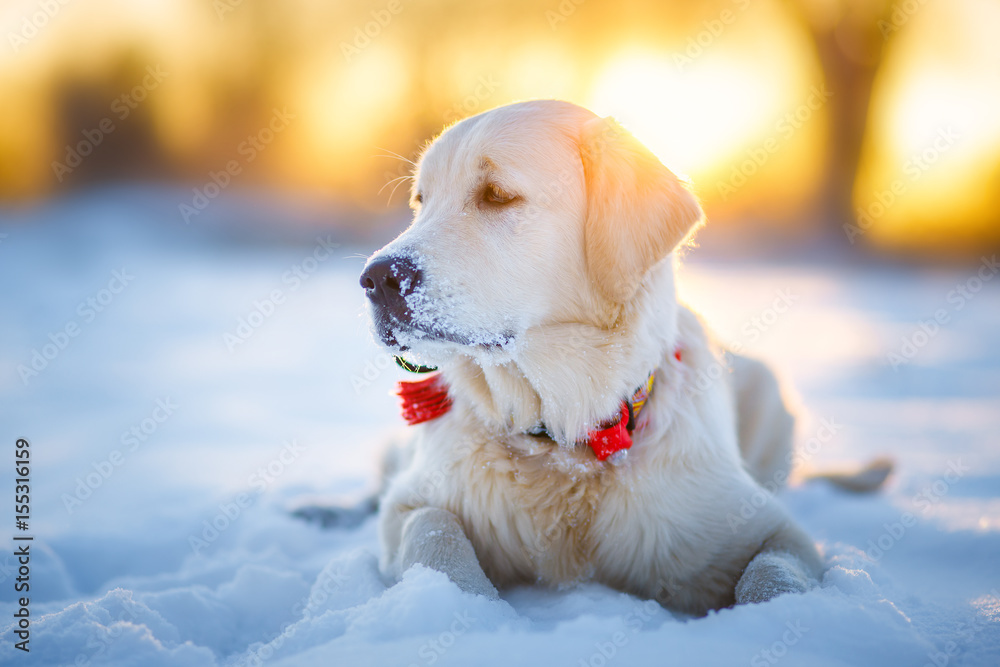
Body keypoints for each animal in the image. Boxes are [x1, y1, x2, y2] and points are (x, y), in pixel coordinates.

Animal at [356, 99, 824, 616]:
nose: (375, 279)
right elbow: (434, 530)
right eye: (421, 201)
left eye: (496, 195)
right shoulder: (412, 501)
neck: (562, 442)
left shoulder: (768, 529)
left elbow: (773, 576)